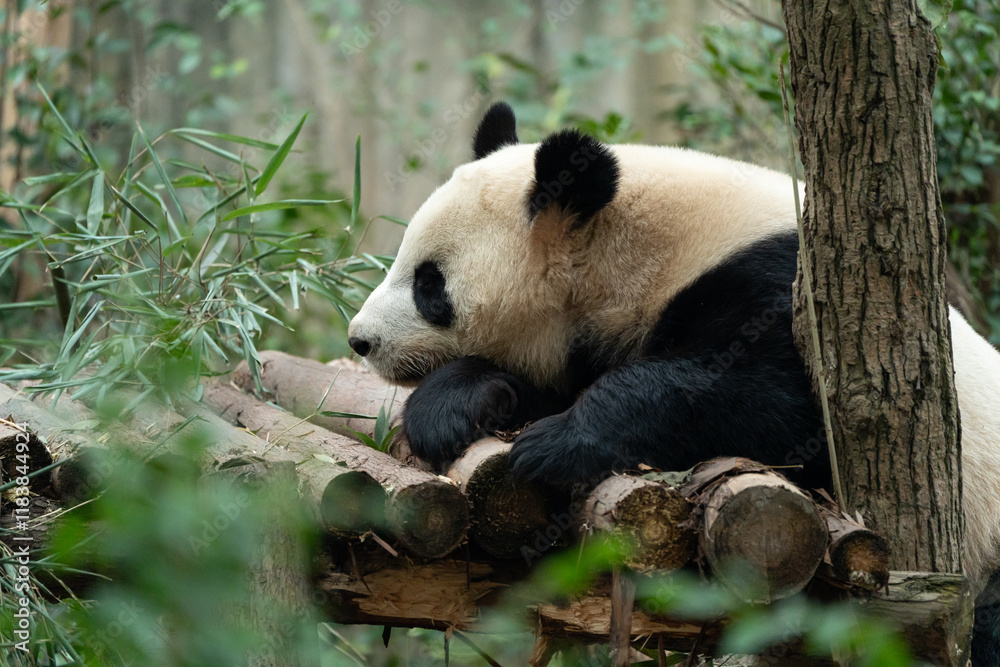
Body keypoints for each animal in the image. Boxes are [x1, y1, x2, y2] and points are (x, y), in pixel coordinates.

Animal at [348, 102, 1000, 662]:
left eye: (430, 285)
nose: (360, 339)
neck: (631, 247)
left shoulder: (786, 294)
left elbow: (773, 408)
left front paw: (555, 444)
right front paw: (451, 407)